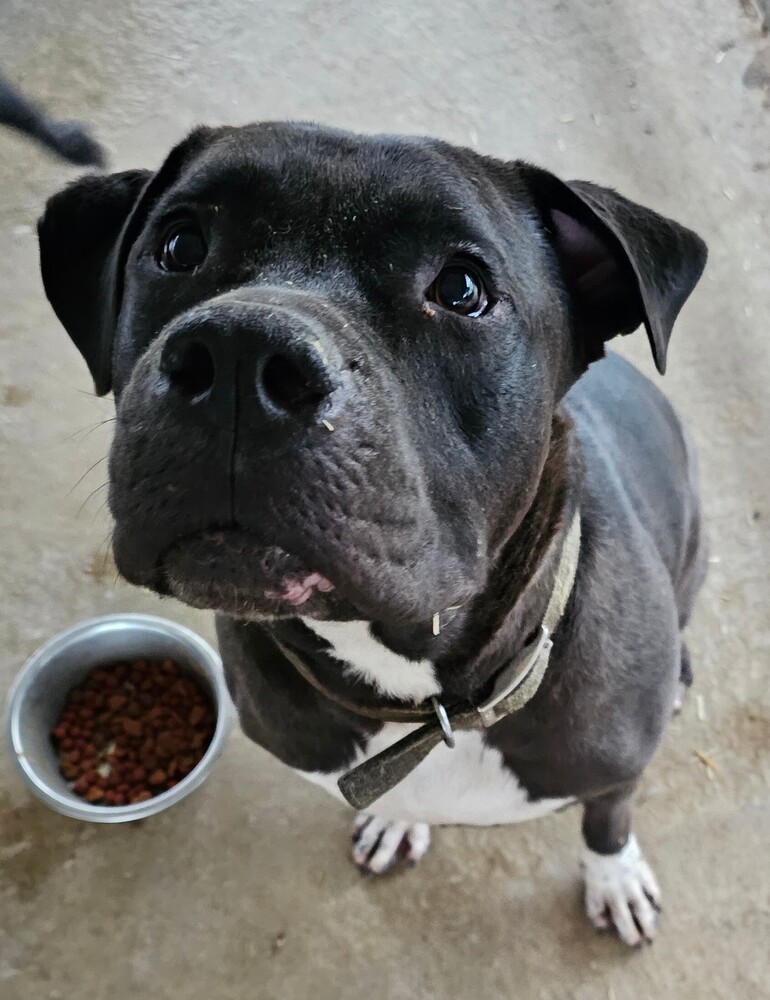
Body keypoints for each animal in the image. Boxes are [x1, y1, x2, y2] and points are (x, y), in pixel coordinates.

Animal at [39, 125, 704, 944]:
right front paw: (396, 820)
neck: (423, 697)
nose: (238, 353)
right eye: (179, 245)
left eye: (461, 289)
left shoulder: (613, 773)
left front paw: (614, 877)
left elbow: (607, 818)